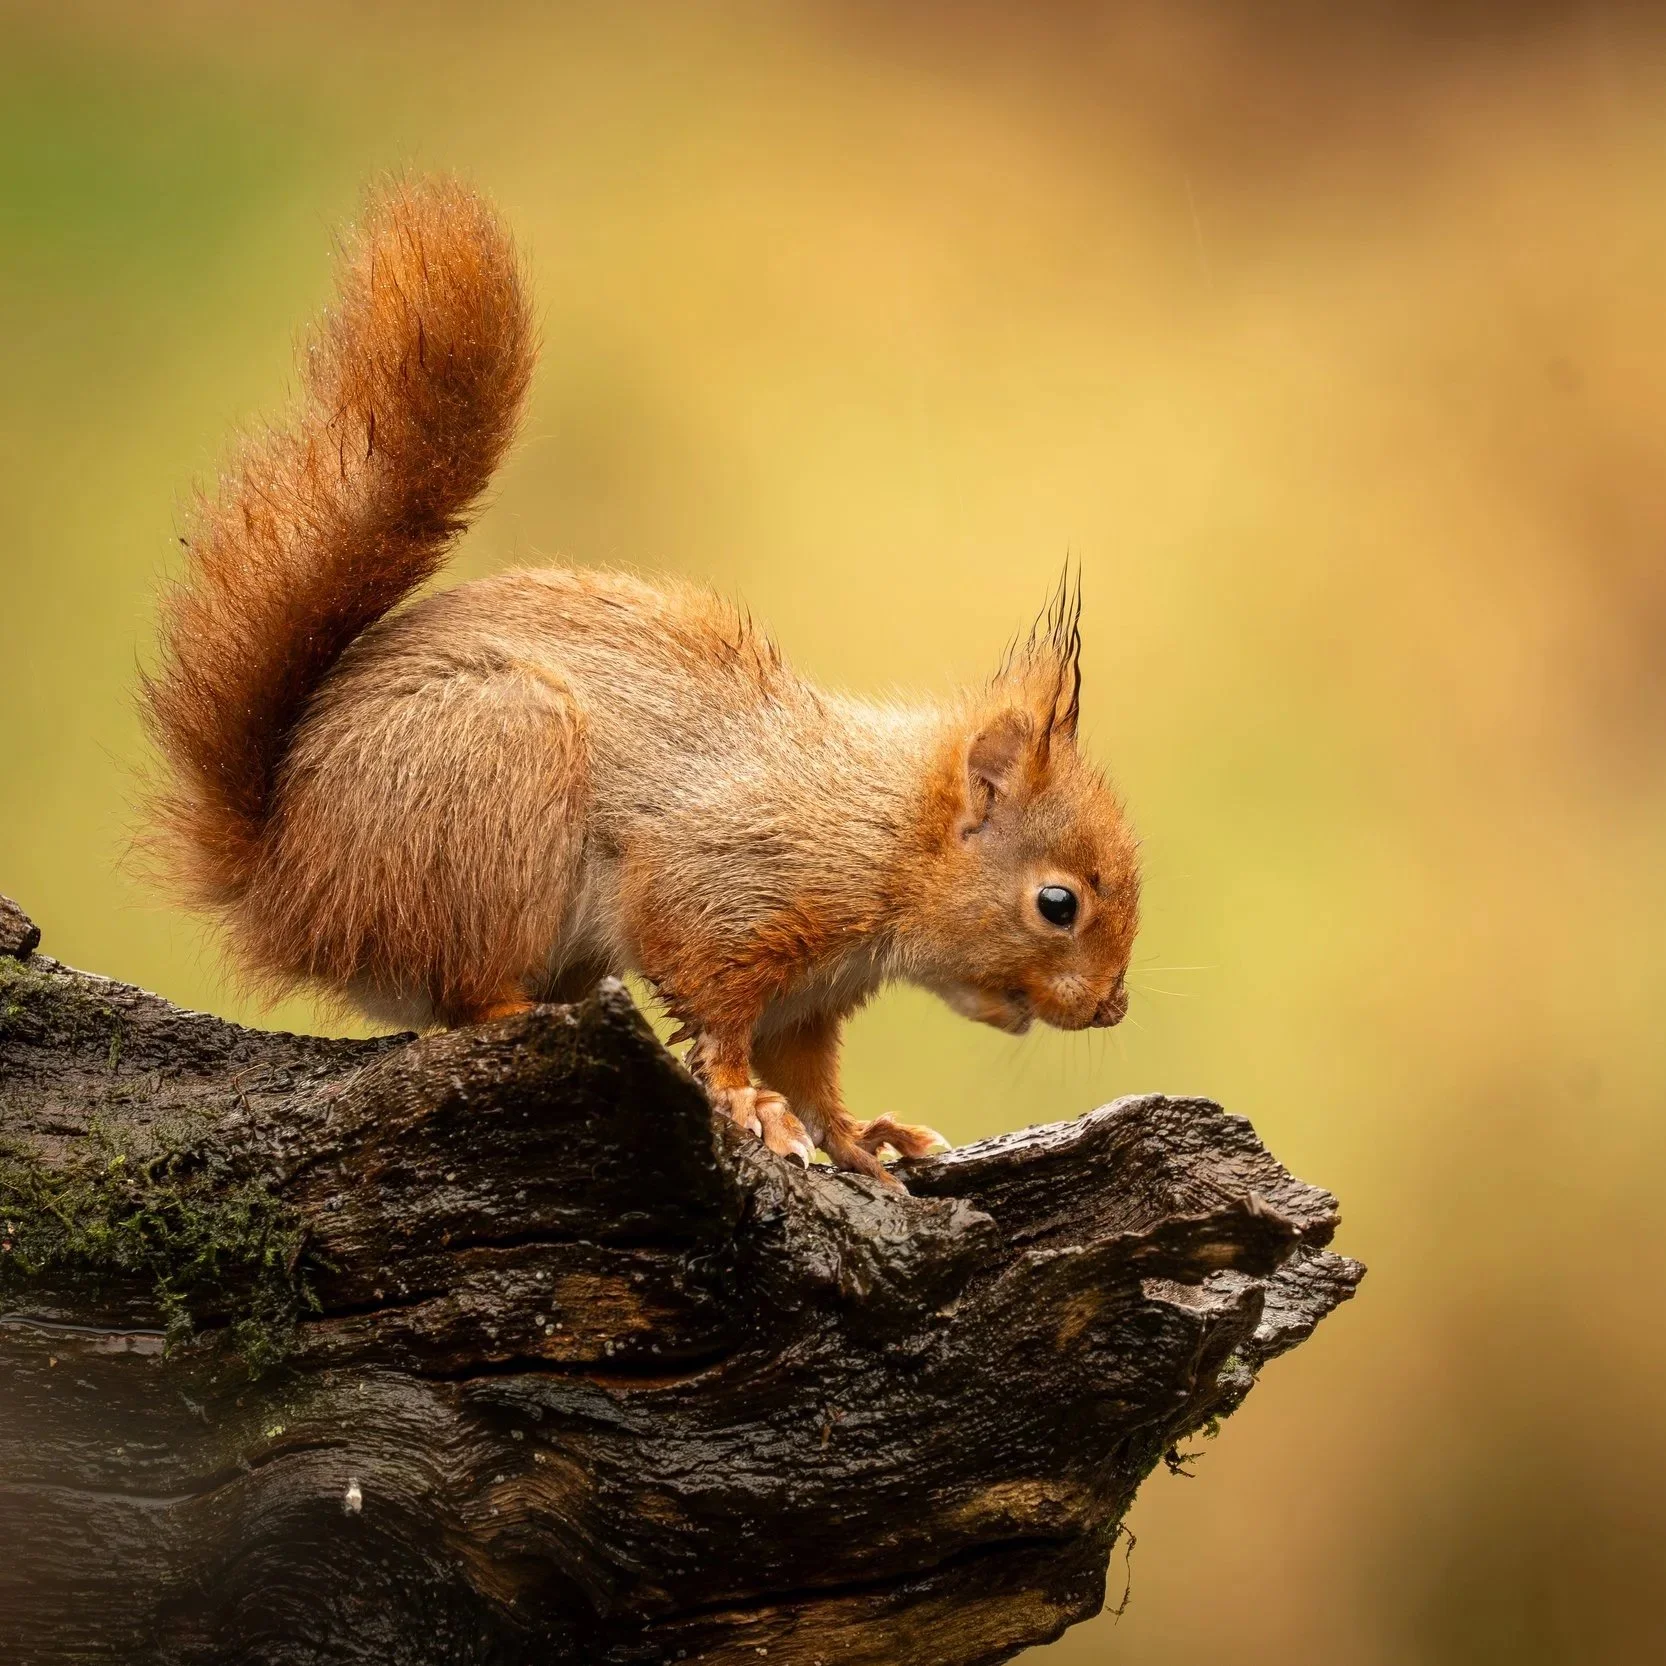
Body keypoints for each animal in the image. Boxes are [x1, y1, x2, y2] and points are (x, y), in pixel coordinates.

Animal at [142, 177, 1140, 1185]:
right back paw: (524, 1014)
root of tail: (286, 888)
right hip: (497, 785)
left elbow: (810, 1073)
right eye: (1058, 904)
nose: (1111, 1010)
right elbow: (714, 1001)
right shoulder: (730, 882)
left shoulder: (813, 995)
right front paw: (745, 1102)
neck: (884, 834)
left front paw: (862, 1138)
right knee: (464, 998)